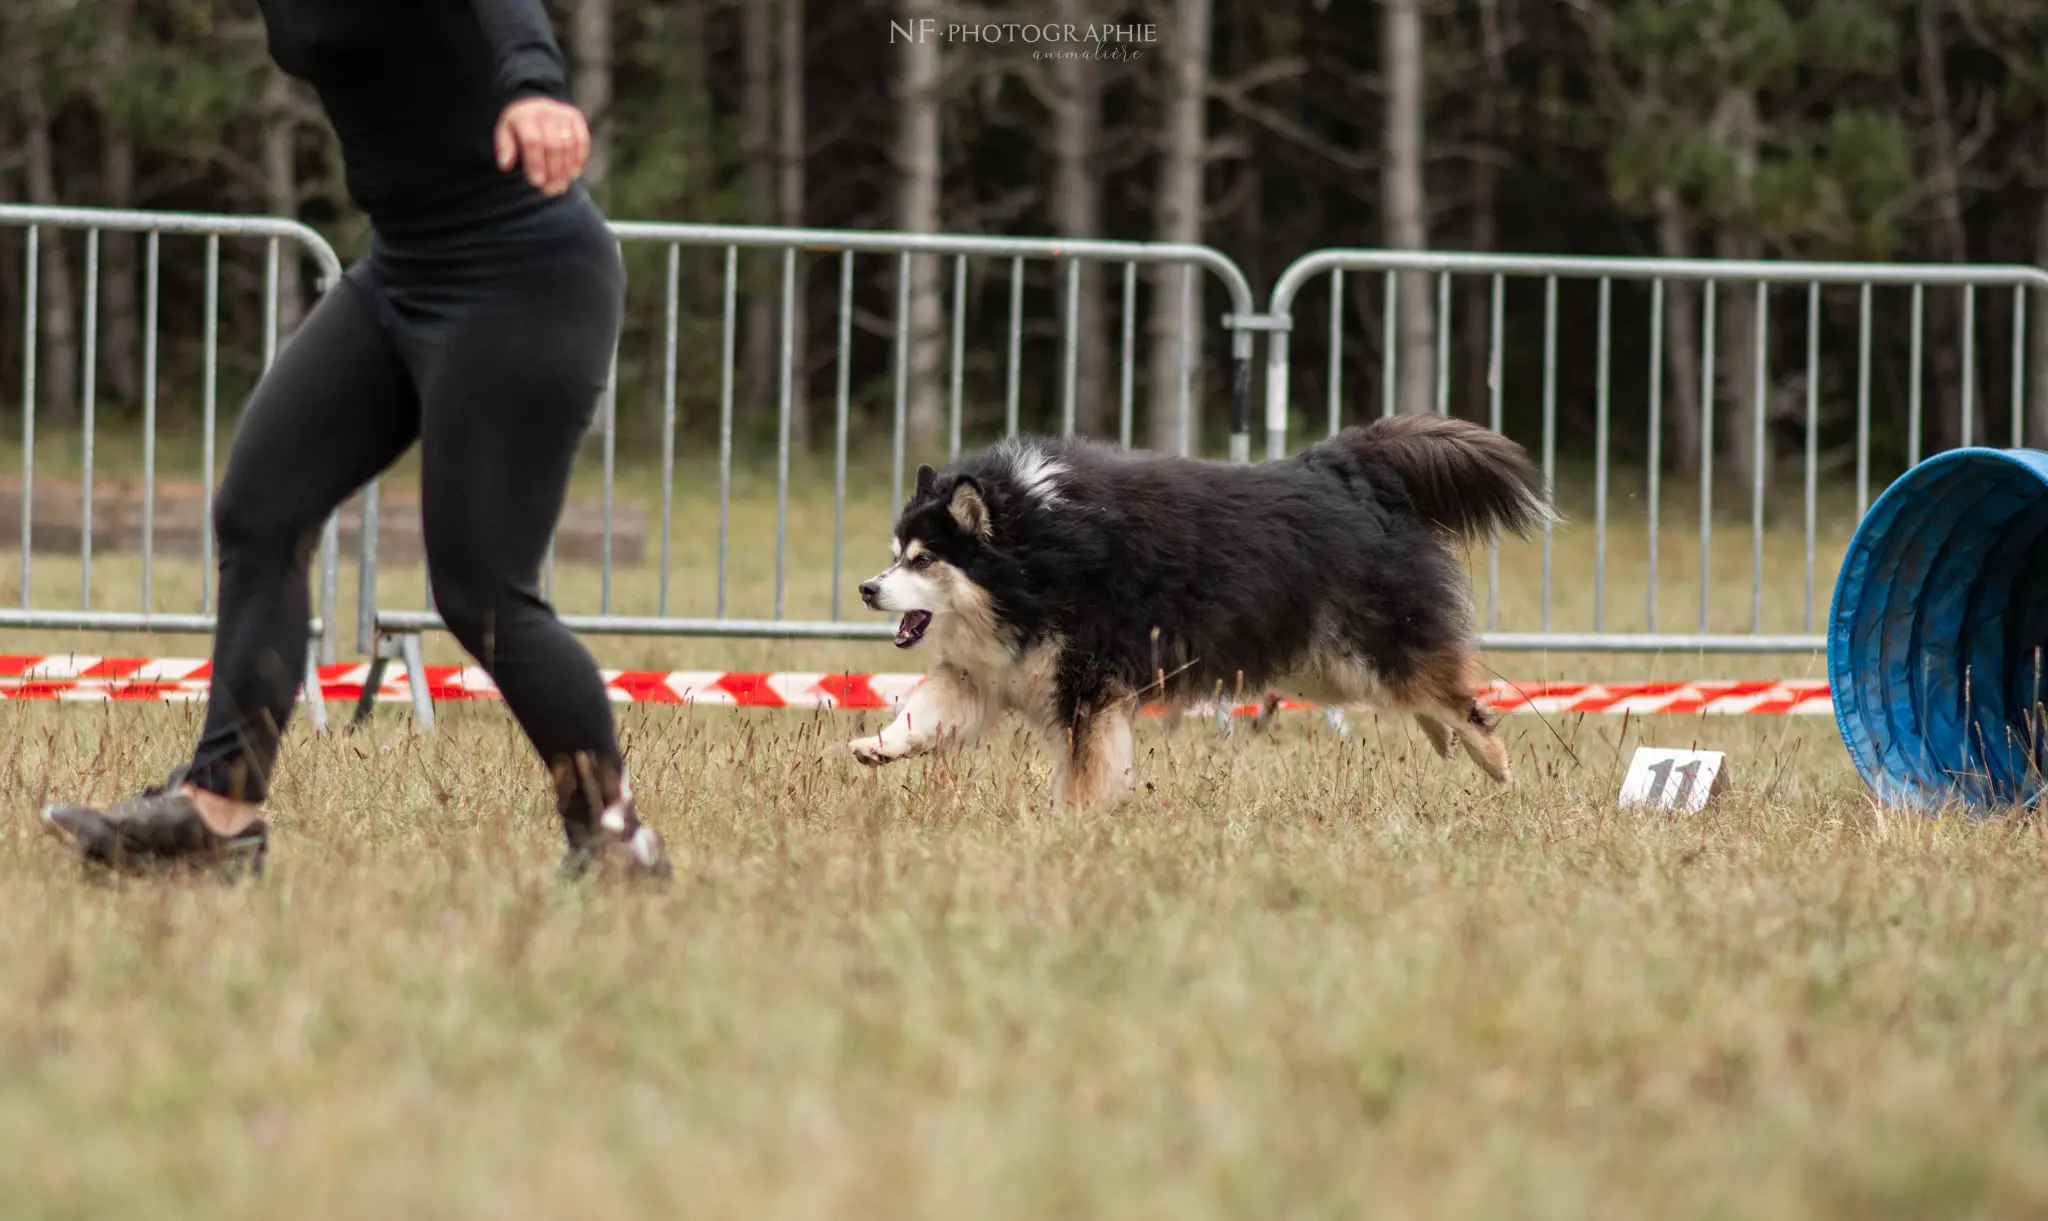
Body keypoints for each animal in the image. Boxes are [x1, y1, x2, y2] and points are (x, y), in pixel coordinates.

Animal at [847, 415, 1548, 807]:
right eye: (895, 556)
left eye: (923, 561)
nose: (866, 589)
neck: (1033, 558)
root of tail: (1348, 471)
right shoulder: (986, 671)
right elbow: (926, 708)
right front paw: (877, 746)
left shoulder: (1086, 685)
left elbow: (1083, 771)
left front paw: (1069, 825)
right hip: (1318, 662)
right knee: (1425, 693)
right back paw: (1443, 738)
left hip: (1360, 643)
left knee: (1449, 690)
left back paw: (1495, 762)